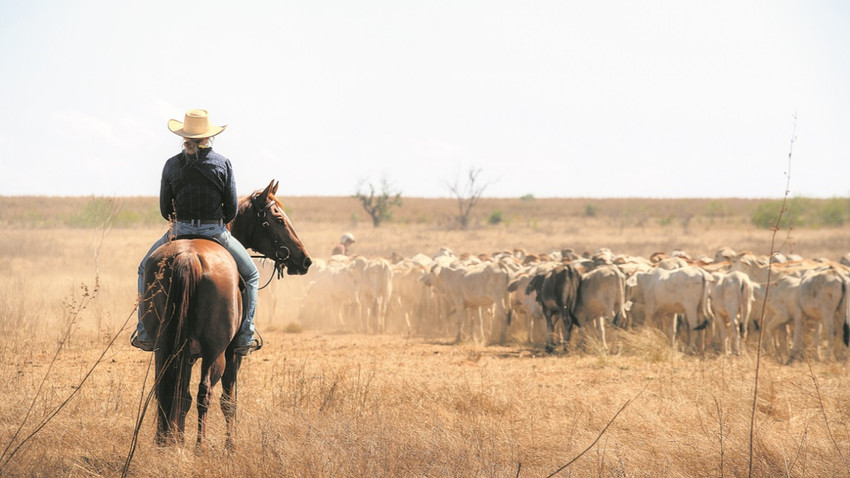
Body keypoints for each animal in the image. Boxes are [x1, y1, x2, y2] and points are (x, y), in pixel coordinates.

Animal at [139, 179, 312, 448]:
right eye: (278, 219)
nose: (305, 261)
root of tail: (188, 257)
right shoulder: (233, 354)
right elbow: (229, 401)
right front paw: (230, 446)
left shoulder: (186, 353)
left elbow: (181, 396)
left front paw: (177, 441)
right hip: (216, 351)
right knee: (205, 392)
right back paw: (200, 448)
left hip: (163, 346)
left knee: (167, 390)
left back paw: (167, 442)